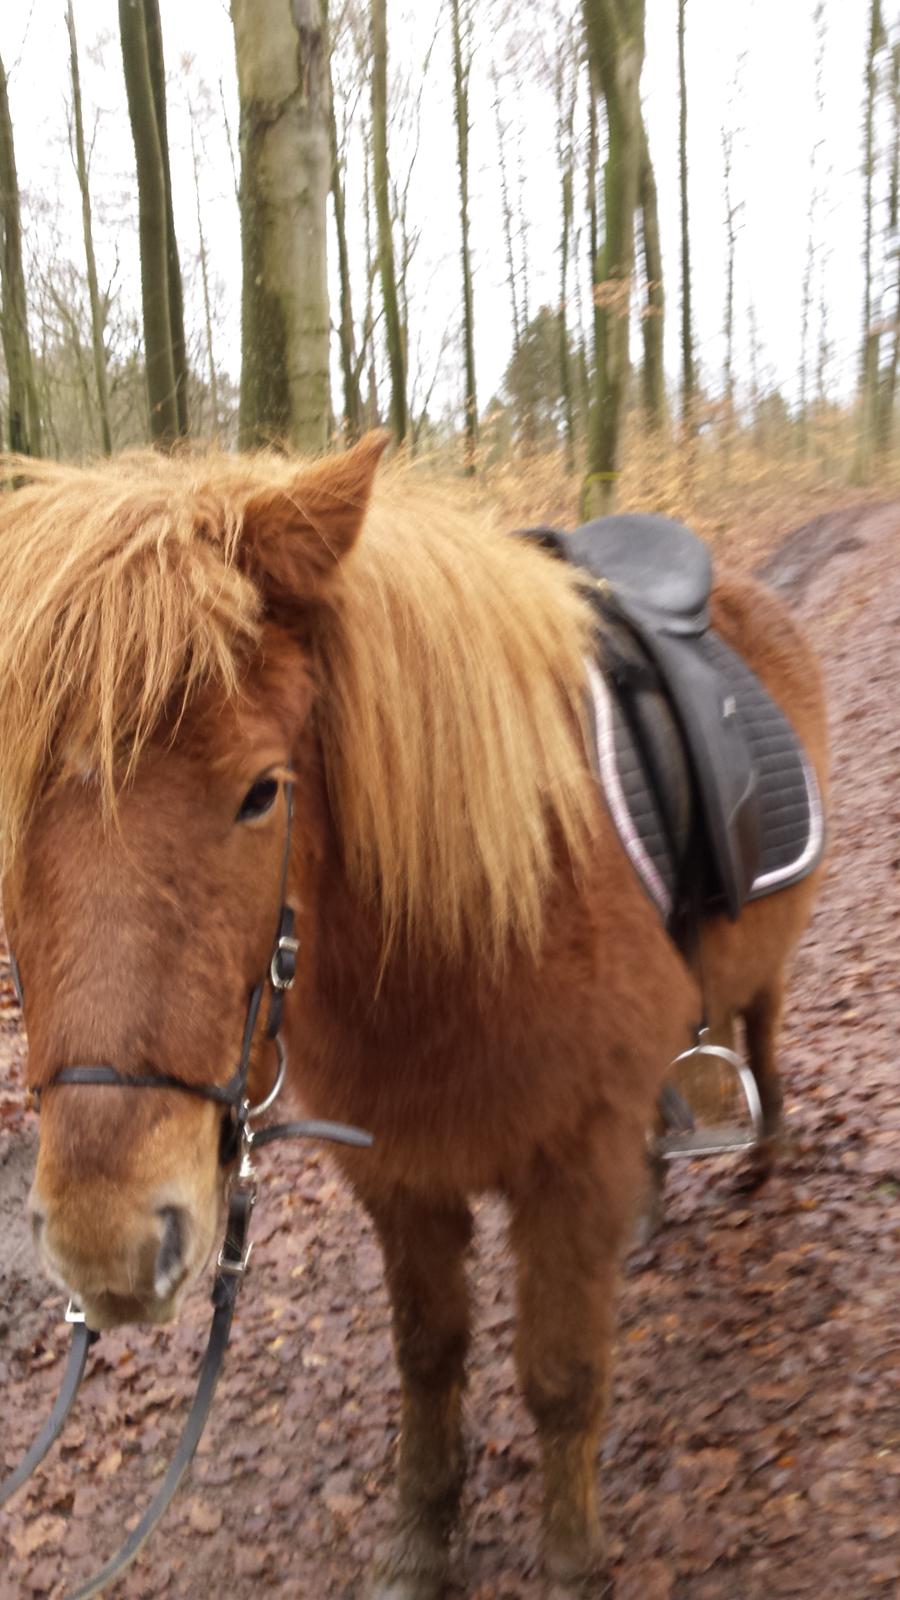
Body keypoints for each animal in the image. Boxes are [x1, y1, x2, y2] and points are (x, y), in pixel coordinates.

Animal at [0, 432, 826, 1593]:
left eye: (263, 791)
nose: (105, 1244)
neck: (467, 944)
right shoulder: (399, 1173)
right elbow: (429, 1356)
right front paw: (424, 1540)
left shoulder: (570, 1165)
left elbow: (562, 1375)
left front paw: (570, 1559)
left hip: (761, 974)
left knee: (760, 1023)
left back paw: (766, 1151)